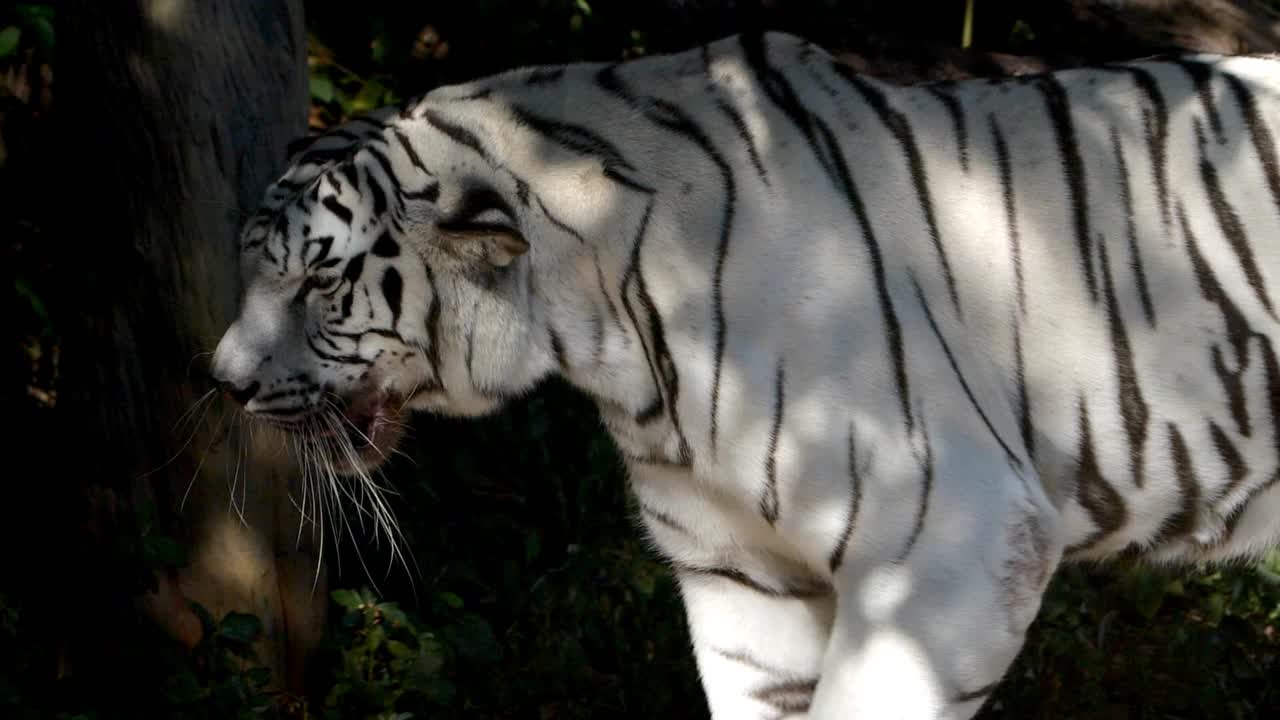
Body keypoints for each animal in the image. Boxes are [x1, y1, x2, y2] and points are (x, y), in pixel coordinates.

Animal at [209, 30, 1280, 712]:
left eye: (317, 282)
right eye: (254, 267)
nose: (223, 382)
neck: (615, 337)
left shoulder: (953, 550)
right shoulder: (740, 579)